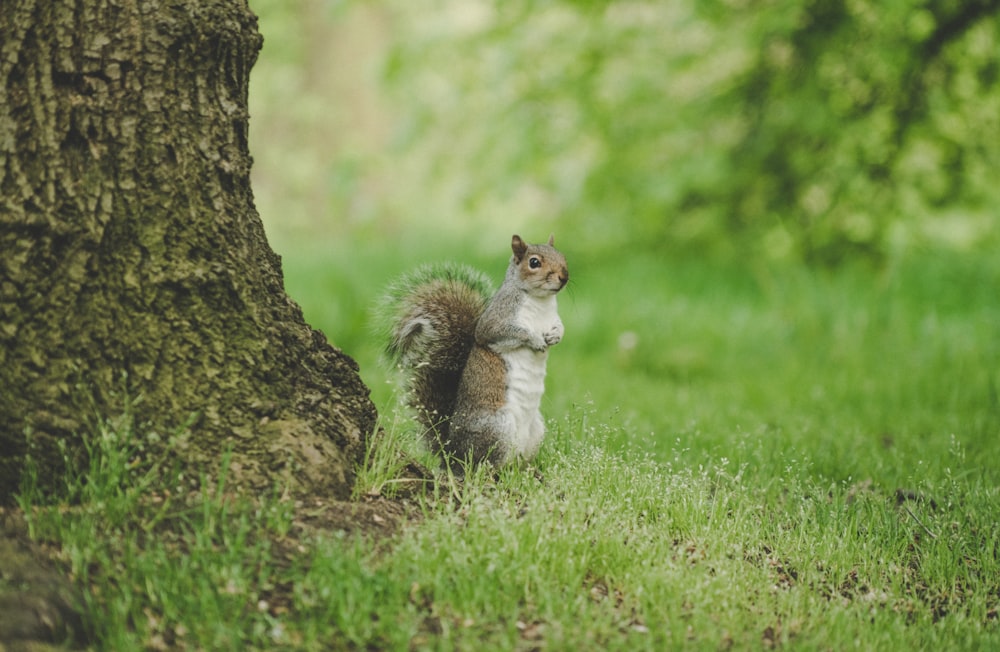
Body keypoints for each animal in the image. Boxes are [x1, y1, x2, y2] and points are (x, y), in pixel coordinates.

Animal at [380, 234, 572, 468]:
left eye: (562, 255)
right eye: (534, 262)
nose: (564, 277)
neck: (540, 301)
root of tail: (452, 453)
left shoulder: (553, 318)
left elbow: (560, 327)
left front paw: (556, 336)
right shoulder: (495, 323)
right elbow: (511, 333)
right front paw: (535, 340)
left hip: (535, 431)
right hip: (497, 427)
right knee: (484, 465)